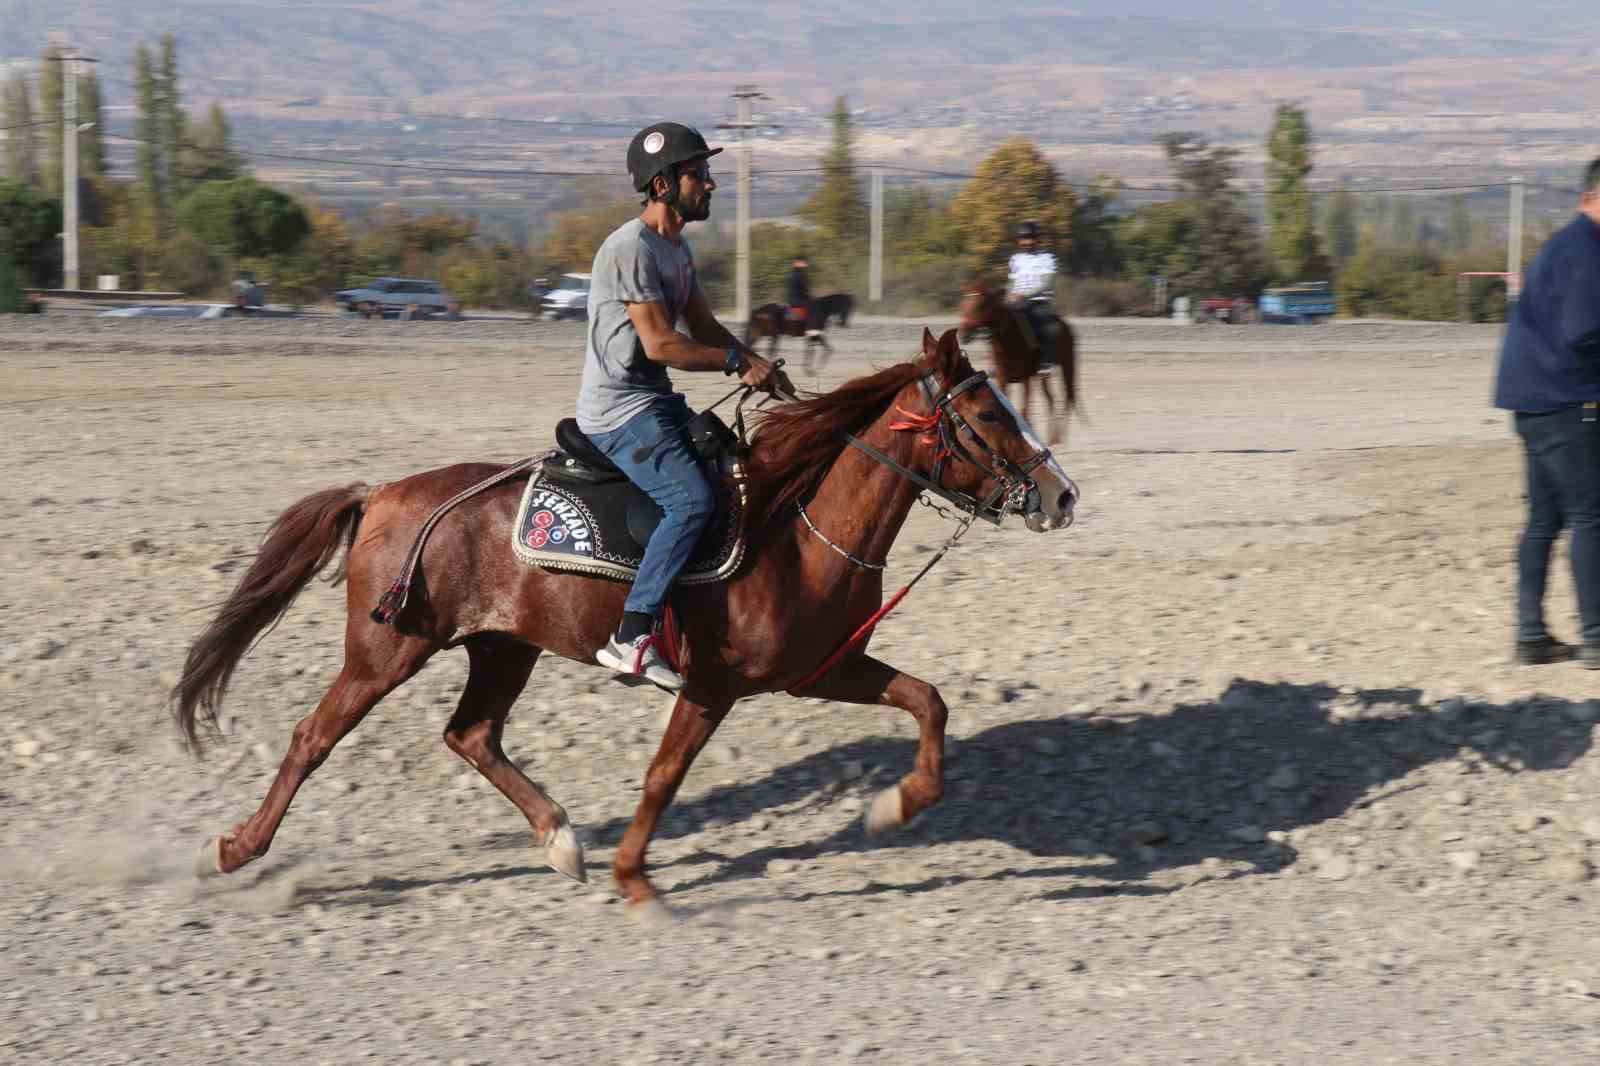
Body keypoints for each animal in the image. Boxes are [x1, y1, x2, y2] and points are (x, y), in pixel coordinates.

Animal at [172, 328, 1075, 909]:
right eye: (987, 415)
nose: (1061, 495)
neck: (795, 528)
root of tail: (383, 493)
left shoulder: (822, 669)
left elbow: (929, 701)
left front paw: (894, 806)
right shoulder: (712, 685)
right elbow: (663, 776)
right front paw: (637, 878)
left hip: (503, 647)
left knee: (472, 735)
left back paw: (561, 840)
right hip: (387, 649)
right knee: (313, 738)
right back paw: (236, 850)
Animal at [953, 280, 1081, 441]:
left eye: (980, 305)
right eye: (962, 305)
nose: (963, 335)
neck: (1010, 339)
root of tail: (1064, 324)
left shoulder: (1026, 379)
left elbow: (1023, 410)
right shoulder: (1003, 378)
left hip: (1067, 364)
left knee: (1067, 397)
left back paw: (1059, 438)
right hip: (1043, 376)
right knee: (1050, 398)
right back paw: (1052, 437)